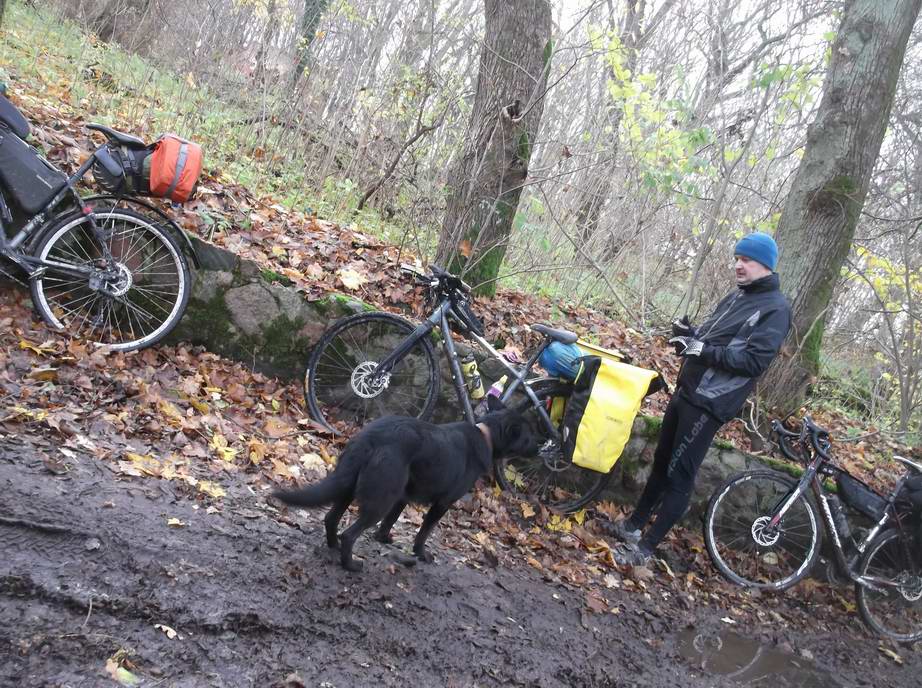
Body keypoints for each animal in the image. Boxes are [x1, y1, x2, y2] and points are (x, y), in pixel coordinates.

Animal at [270, 396, 536, 572]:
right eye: (529, 436)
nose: (541, 447)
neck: (486, 433)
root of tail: (369, 438)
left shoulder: (403, 496)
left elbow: (391, 521)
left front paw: (383, 538)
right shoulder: (442, 503)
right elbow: (424, 532)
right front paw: (421, 554)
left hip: (350, 487)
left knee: (330, 519)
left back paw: (333, 547)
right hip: (380, 499)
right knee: (349, 534)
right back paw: (351, 564)